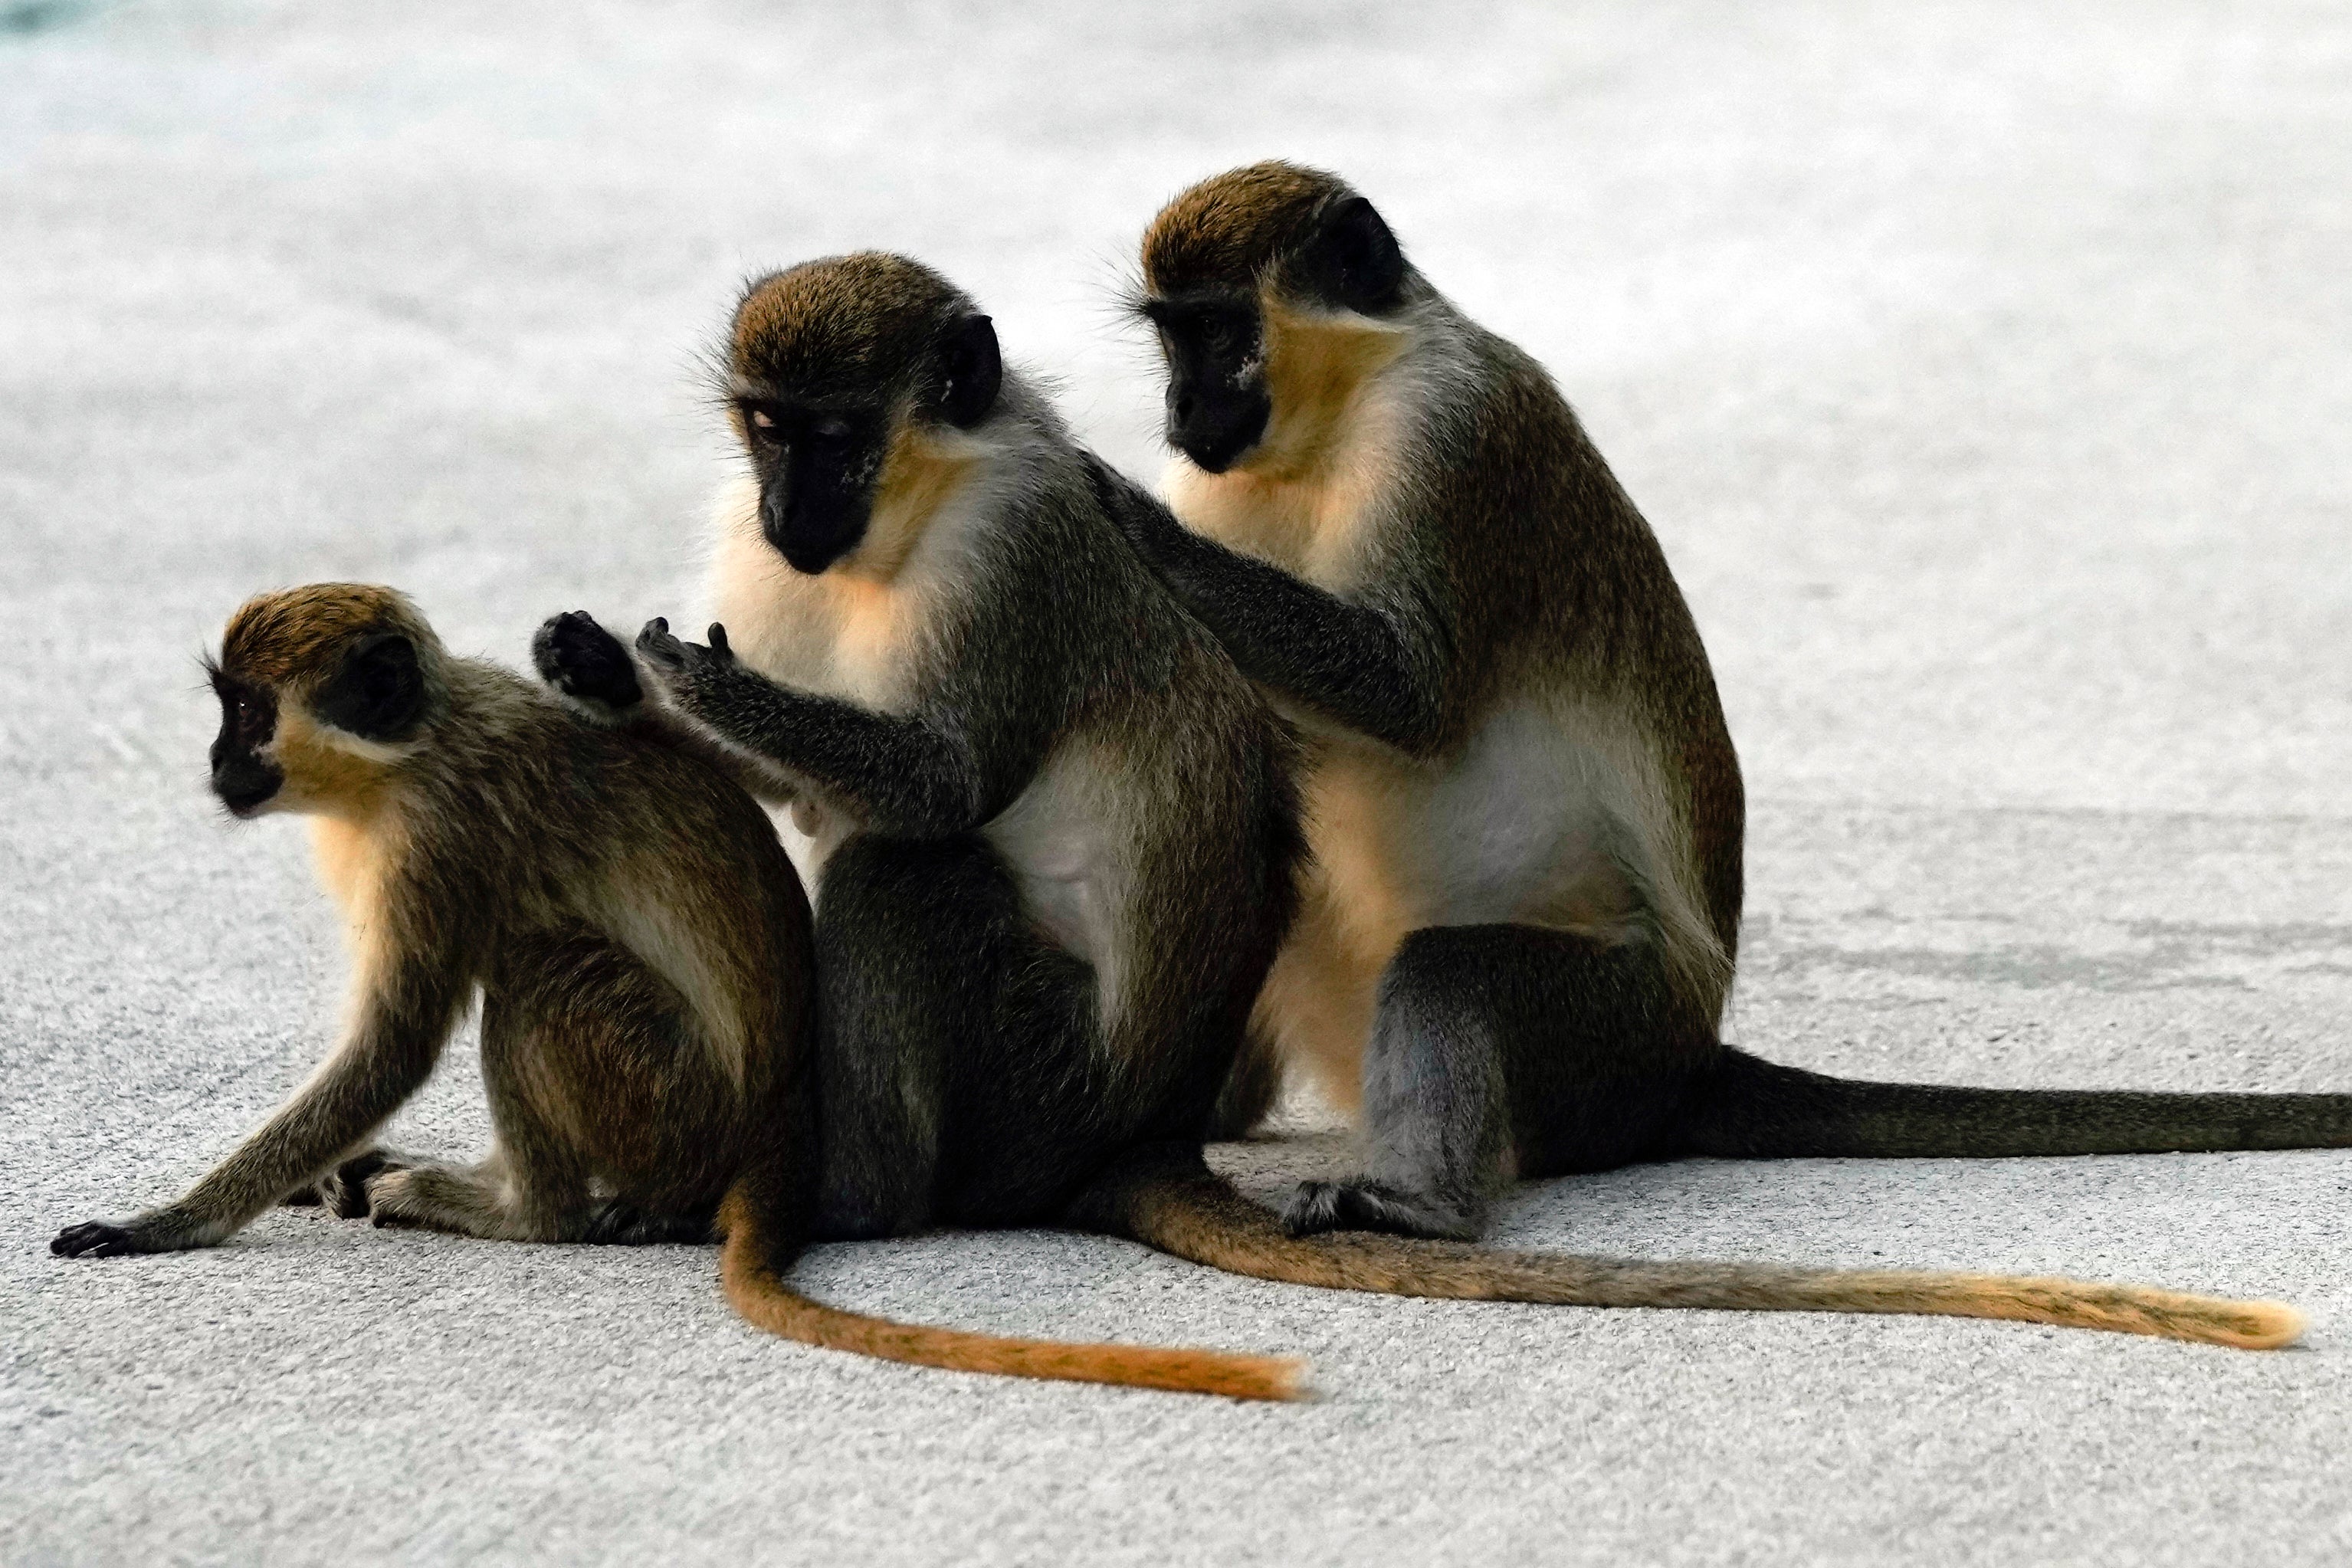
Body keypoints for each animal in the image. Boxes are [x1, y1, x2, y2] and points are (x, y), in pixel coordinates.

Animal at [49, 582, 1309, 1402]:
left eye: (248, 714)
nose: (218, 764)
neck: (412, 752)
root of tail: (767, 1128)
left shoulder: (439, 839)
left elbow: (393, 1048)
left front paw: (164, 1223)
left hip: (669, 1102)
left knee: (537, 971)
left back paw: (523, 1208)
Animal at [533, 252, 2303, 1354]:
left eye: (837, 436)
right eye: (765, 434)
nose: (792, 507)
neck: (904, 520)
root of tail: (1127, 1126)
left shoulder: (1015, 554)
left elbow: (936, 785)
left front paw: (661, 680)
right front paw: (601, 673)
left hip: (1043, 1081)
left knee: (911, 873)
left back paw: (868, 1200)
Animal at [1108, 159, 2352, 1247]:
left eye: (1216, 332)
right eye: (1170, 337)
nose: (1179, 401)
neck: (1335, 419)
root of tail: (1693, 1058)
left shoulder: (1453, 434)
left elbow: (1407, 691)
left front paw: (1119, 514)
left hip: (1617, 1037)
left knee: (1448, 971)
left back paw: (1420, 1202)